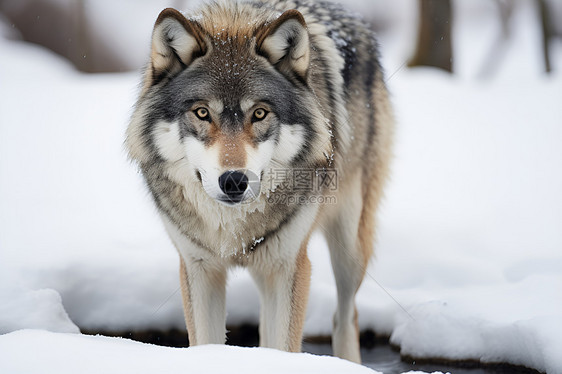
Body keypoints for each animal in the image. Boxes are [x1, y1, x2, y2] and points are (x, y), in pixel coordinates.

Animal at [125, 0, 392, 362]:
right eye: (202, 113)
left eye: (260, 114)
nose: (234, 181)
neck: (231, 228)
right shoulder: (198, 268)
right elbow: (206, 343)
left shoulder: (290, 265)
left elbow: (287, 346)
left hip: (348, 248)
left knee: (345, 315)